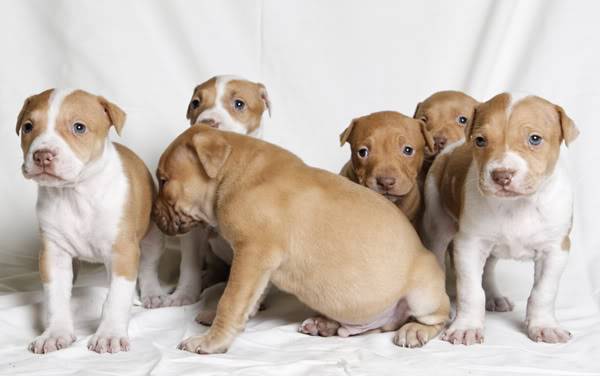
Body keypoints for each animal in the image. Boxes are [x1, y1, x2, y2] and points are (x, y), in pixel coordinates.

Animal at [17, 88, 163, 352]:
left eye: (79, 127)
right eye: (28, 127)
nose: (42, 155)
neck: (75, 193)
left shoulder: (122, 252)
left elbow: (117, 297)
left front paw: (110, 334)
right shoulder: (54, 254)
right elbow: (56, 298)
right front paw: (55, 333)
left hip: (153, 235)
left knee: (149, 265)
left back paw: (151, 293)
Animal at [137, 75, 270, 310]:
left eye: (239, 104)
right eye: (195, 103)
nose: (207, 122)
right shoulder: (193, 231)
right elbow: (189, 264)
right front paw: (184, 295)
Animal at [152, 126, 448, 356]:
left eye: (164, 181)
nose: (153, 216)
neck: (231, 170)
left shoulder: (251, 255)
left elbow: (231, 300)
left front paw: (212, 341)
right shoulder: (261, 266)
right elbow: (252, 298)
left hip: (423, 295)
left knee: (436, 318)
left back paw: (414, 330)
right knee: (374, 326)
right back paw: (325, 324)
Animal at [420, 92, 580, 346]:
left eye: (535, 139)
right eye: (480, 141)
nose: (501, 175)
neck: (518, 205)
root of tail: (452, 147)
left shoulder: (555, 250)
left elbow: (543, 292)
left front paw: (544, 326)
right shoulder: (469, 245)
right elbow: (471, 291)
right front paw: (466, 327)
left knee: (488, 270)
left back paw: (494, 297)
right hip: (436, 224)